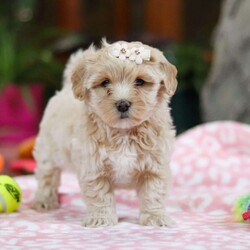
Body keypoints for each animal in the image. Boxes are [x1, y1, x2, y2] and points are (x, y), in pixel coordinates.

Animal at [32, 38, 178, 227]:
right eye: (105, 82)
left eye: (139, 82)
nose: (123, 104)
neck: (124, 133)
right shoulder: (93, 167)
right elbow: (99, 194)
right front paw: (101, 218)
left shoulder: (155, 165)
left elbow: (153, 193)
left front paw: (156, 217)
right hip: (48, 150)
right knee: (47, 176)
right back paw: (44, 200)